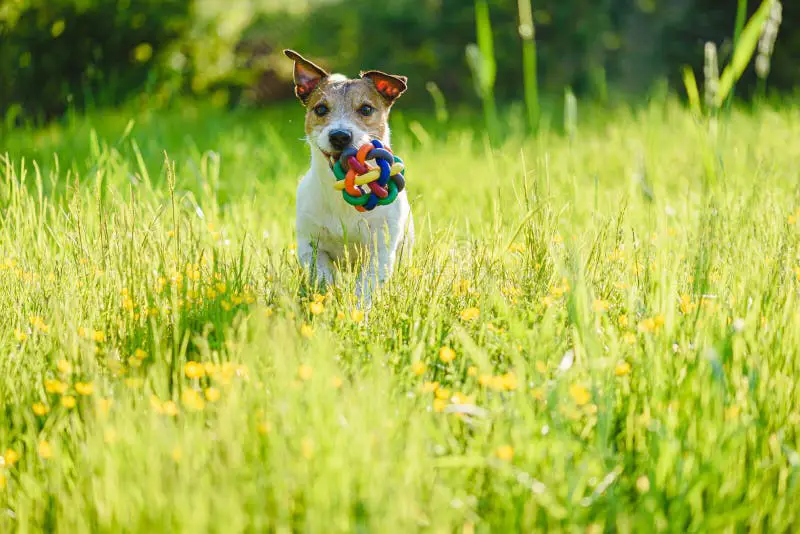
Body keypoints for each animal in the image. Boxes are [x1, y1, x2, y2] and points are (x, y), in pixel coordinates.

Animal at [286, 50, 412, 306]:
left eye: (366, 109)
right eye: (321, 109)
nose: (340, 136)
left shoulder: (379, 250)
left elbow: (366, 286)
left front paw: (356, 311)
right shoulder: (310, 245)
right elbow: (322, 276)